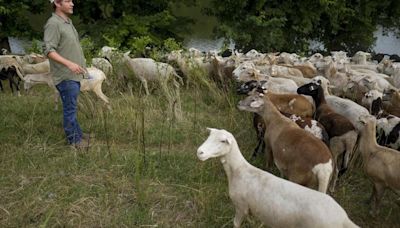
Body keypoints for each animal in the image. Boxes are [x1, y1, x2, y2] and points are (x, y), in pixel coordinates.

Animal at [197, 127, 360, 227]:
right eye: (209, 136)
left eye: (222, 141)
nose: (199, 152)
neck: (238, 170)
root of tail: (343, 218)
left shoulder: (241, 206)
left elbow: (236, 224)